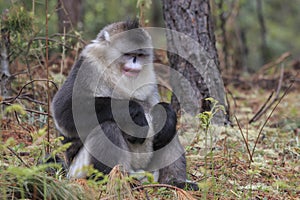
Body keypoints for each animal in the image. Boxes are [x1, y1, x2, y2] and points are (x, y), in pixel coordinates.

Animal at [50, 20, 198, 191]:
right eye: (128, 54)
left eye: (139, 55)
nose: (134, 61)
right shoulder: (87, 66)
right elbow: (64, 112)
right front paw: (134, 110)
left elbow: (158, 109)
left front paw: (167, 113)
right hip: (79, 170)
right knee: (107, 127)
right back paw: (114, 181)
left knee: (167, 132)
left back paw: (175, 181)